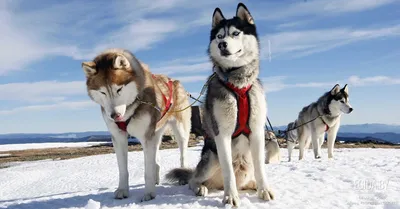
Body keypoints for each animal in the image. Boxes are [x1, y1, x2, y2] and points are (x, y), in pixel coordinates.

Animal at [81, 48, 191, 201]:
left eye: (119, 89)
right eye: (102, 92)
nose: (114, 116)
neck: (130, 108)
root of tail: (173, 81)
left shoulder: (146, 137)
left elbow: (147, 170)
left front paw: (149, 193)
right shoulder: (118, 137)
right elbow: (123, 169)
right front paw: (122, 190)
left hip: (180, 130)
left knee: (182, 154)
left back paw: (182, 174)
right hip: (156, 133)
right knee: (156, 157)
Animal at [164, 3, 274, 207]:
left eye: (236, 33)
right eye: (219, 36)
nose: (223, 45)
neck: (238, 83)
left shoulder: (256, 131)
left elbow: (261, 168)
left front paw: (264, 190)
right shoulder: (222, 134)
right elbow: (227, 170)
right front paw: (230, 198)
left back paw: (253, 185)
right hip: (211, 157)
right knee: (194, 179)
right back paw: (201, 188)